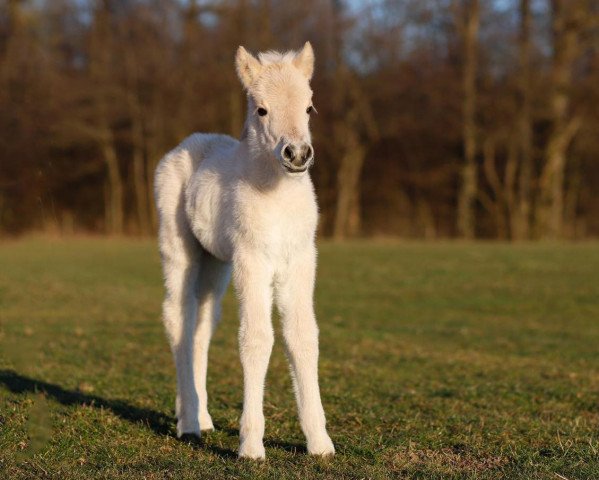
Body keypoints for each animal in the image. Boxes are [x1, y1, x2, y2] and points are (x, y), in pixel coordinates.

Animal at [152, 43, 336, 460]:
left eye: (309, 108)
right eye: (262, 109)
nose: (297, 154)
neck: (278, 195)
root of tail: (191, 142)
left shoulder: (301, 259)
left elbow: (303, 336)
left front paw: (320, 442)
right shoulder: (252, 260)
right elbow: (256, 338)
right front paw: (251, 445)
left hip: (216, 262)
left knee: (201, 323)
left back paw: (200, 416)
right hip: (179, 247)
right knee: (178, 317)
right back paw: (188, 424)